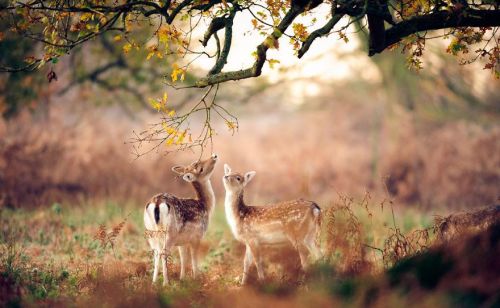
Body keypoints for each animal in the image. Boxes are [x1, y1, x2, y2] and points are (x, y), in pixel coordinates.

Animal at [143, 154, 217, 286]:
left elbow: (183, 258)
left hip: (150, 232)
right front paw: (196, 278)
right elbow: (193, 258)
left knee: (156, 252)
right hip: (170, 232)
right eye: (200, 168)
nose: (214, 156)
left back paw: (154, 282)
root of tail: (156, 203)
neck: (205, 206)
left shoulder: (182, 241)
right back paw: (166, 283)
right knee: (163, 252)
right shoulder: (196, 237)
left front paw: (182, 279)